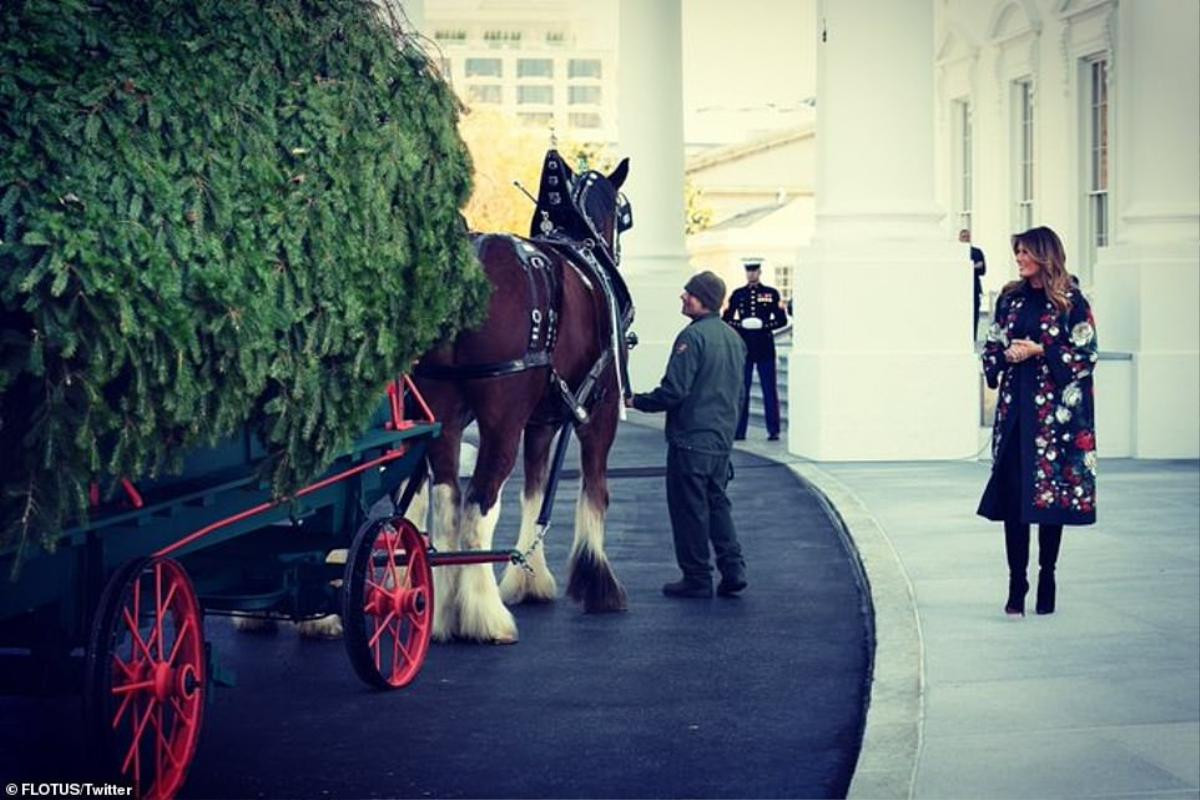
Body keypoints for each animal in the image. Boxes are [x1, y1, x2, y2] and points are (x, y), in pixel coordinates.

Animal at [410, 154, 638, 642]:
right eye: (624, 215)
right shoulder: (602, 412)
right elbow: (596, 490)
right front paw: (597, 581)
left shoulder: (542, 421)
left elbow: (533, 491)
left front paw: (528, 578)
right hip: (501, 420)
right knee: (478, 504)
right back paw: (484, 616)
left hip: (443, 411)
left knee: (446, 499)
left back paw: (441, 614)